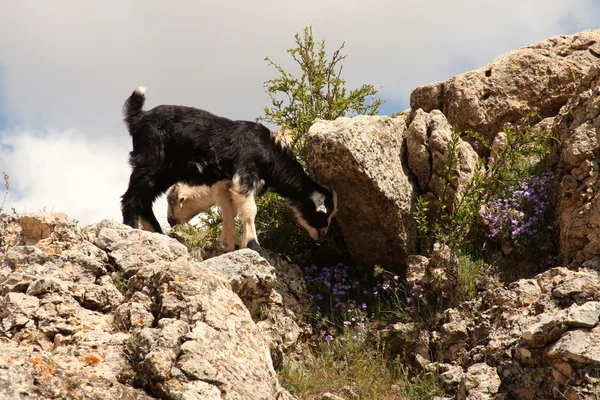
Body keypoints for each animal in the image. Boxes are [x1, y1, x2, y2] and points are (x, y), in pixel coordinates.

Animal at [121, 87, 338, 250]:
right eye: (323, 212)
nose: (322, 234)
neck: (269, 154)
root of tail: (139, 117)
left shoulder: (224, 183)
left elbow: (228, 210)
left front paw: (229, 244)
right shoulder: (245, 176)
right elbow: (250, 210)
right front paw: (252, 244)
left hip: (167, 172)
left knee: (144, 199)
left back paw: (158, 232)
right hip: (151, 162)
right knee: (131, 197)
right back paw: (131, 229)